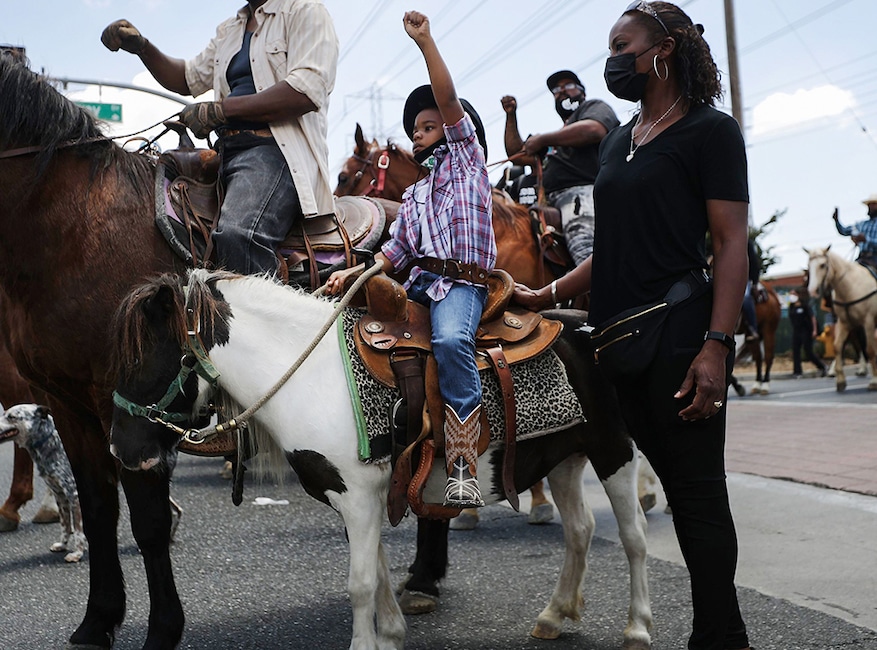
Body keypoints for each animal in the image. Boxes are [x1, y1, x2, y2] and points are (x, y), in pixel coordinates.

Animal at [0, 402, 86, 560]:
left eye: (12, 417)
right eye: (4, 414)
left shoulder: (74, 494)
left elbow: (77, 529)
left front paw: (77, 553)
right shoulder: (60, 496)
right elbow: (65, 524)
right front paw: (62, 544)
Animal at [108, 268, 652, 648]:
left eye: (143, 360)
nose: (120, 451)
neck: (312, 375)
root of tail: (589, 328)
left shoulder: (358, 496)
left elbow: (361, 583)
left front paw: (366, 643)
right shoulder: (356, 497)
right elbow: (380, 574)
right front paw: (389, 637)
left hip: (613, 450)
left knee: (633, 537)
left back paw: (637, 628)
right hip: (565, 458)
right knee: (580, 530)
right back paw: (555, 614)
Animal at [808, 246, 876, 390]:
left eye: (823, 265)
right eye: (808, 266)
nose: (812, 290)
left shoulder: (868, 321)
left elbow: (869, 348)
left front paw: (874, 380)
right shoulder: (844, 322)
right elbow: (838, 346)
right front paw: (839, 378)